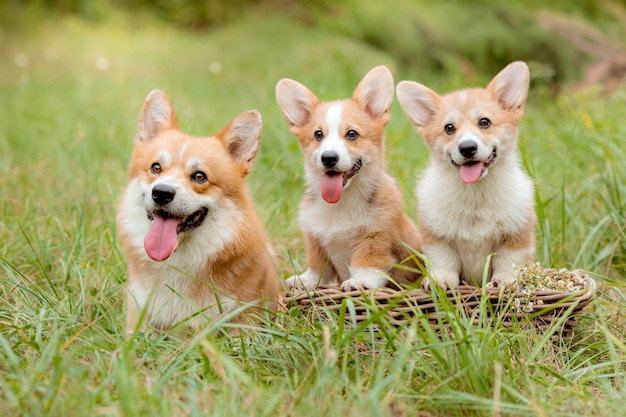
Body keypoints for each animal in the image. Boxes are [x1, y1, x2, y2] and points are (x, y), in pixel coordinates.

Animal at [276, 66, 422, 290]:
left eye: (352, 134)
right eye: (318, 134)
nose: (328, 158)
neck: (342, 201)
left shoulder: (375, 236)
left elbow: (367, 262)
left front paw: (359, 282)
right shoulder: (314, 237)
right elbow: (318, 265)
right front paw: (306, 280)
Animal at [398, 61, 532, 290]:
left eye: (484, 122)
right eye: (449, 128)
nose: (467, 148)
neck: (474, 194)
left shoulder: (517, 234)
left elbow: (509, 261)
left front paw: (505, 282)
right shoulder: (436, 237)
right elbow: (444, 261)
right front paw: (439, 280)